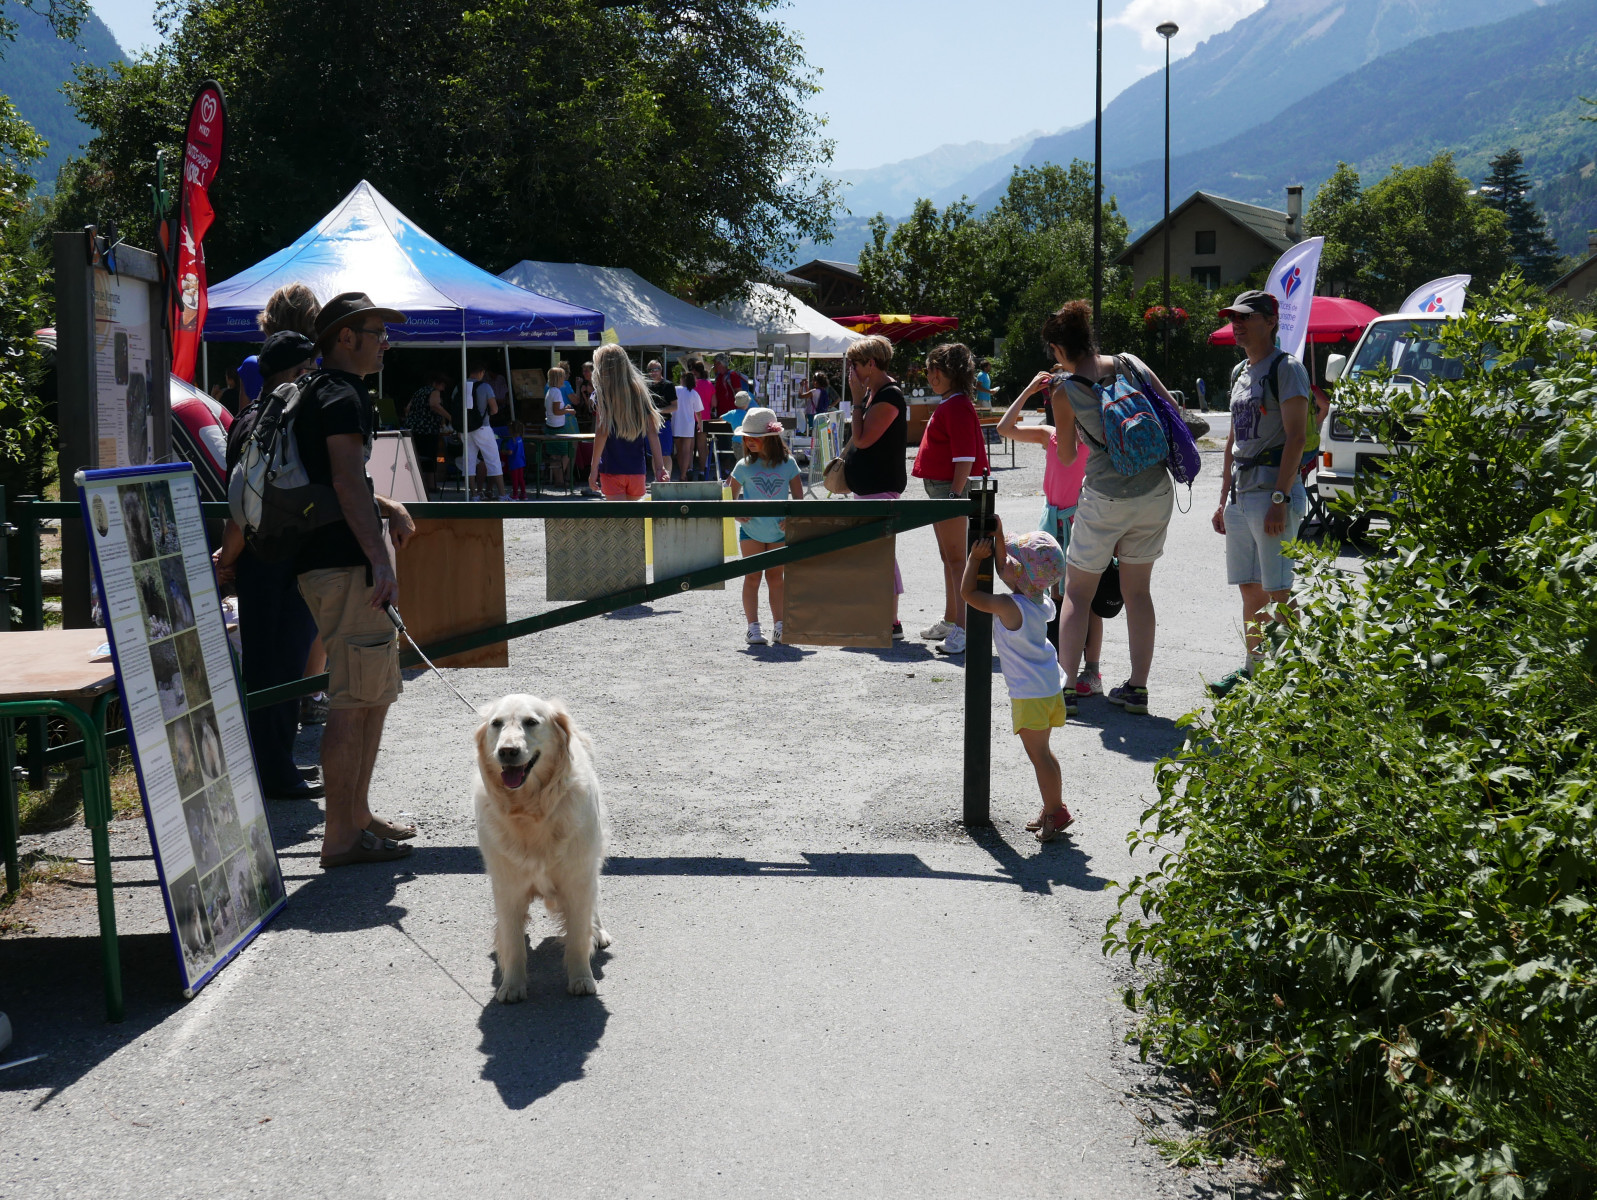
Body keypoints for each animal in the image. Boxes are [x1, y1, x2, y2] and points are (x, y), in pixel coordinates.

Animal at [472, 690, 610, 997]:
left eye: (531, 722)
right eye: (496, 723)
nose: (507, 751)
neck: (530, 810)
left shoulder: (577, 878)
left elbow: (578, 936)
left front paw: (582, 979)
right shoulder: (507, 884)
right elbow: (512, 941)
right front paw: (511, 986)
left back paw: (599, 931)